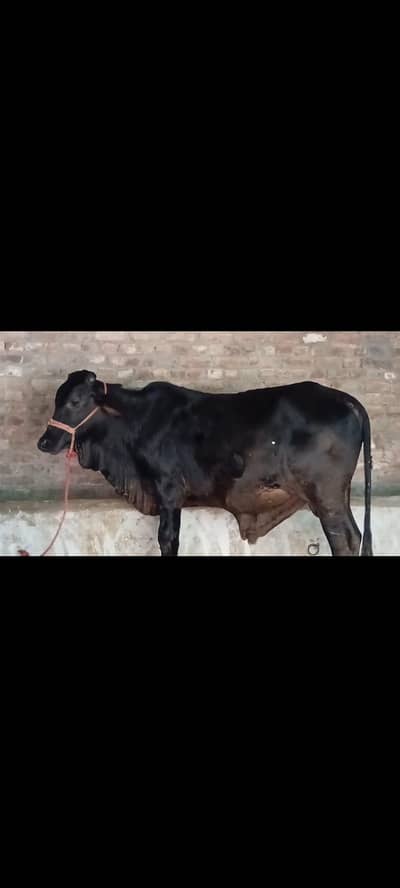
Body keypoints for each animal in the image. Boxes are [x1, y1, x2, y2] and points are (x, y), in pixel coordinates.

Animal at [37, 370, 373, 556]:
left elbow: (168, 539)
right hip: (336, 495)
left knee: (343, 539)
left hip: (325, 495)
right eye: (57, 399)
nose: (44, 442)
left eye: (75, 401)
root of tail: (344, 399)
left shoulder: (169, 490)